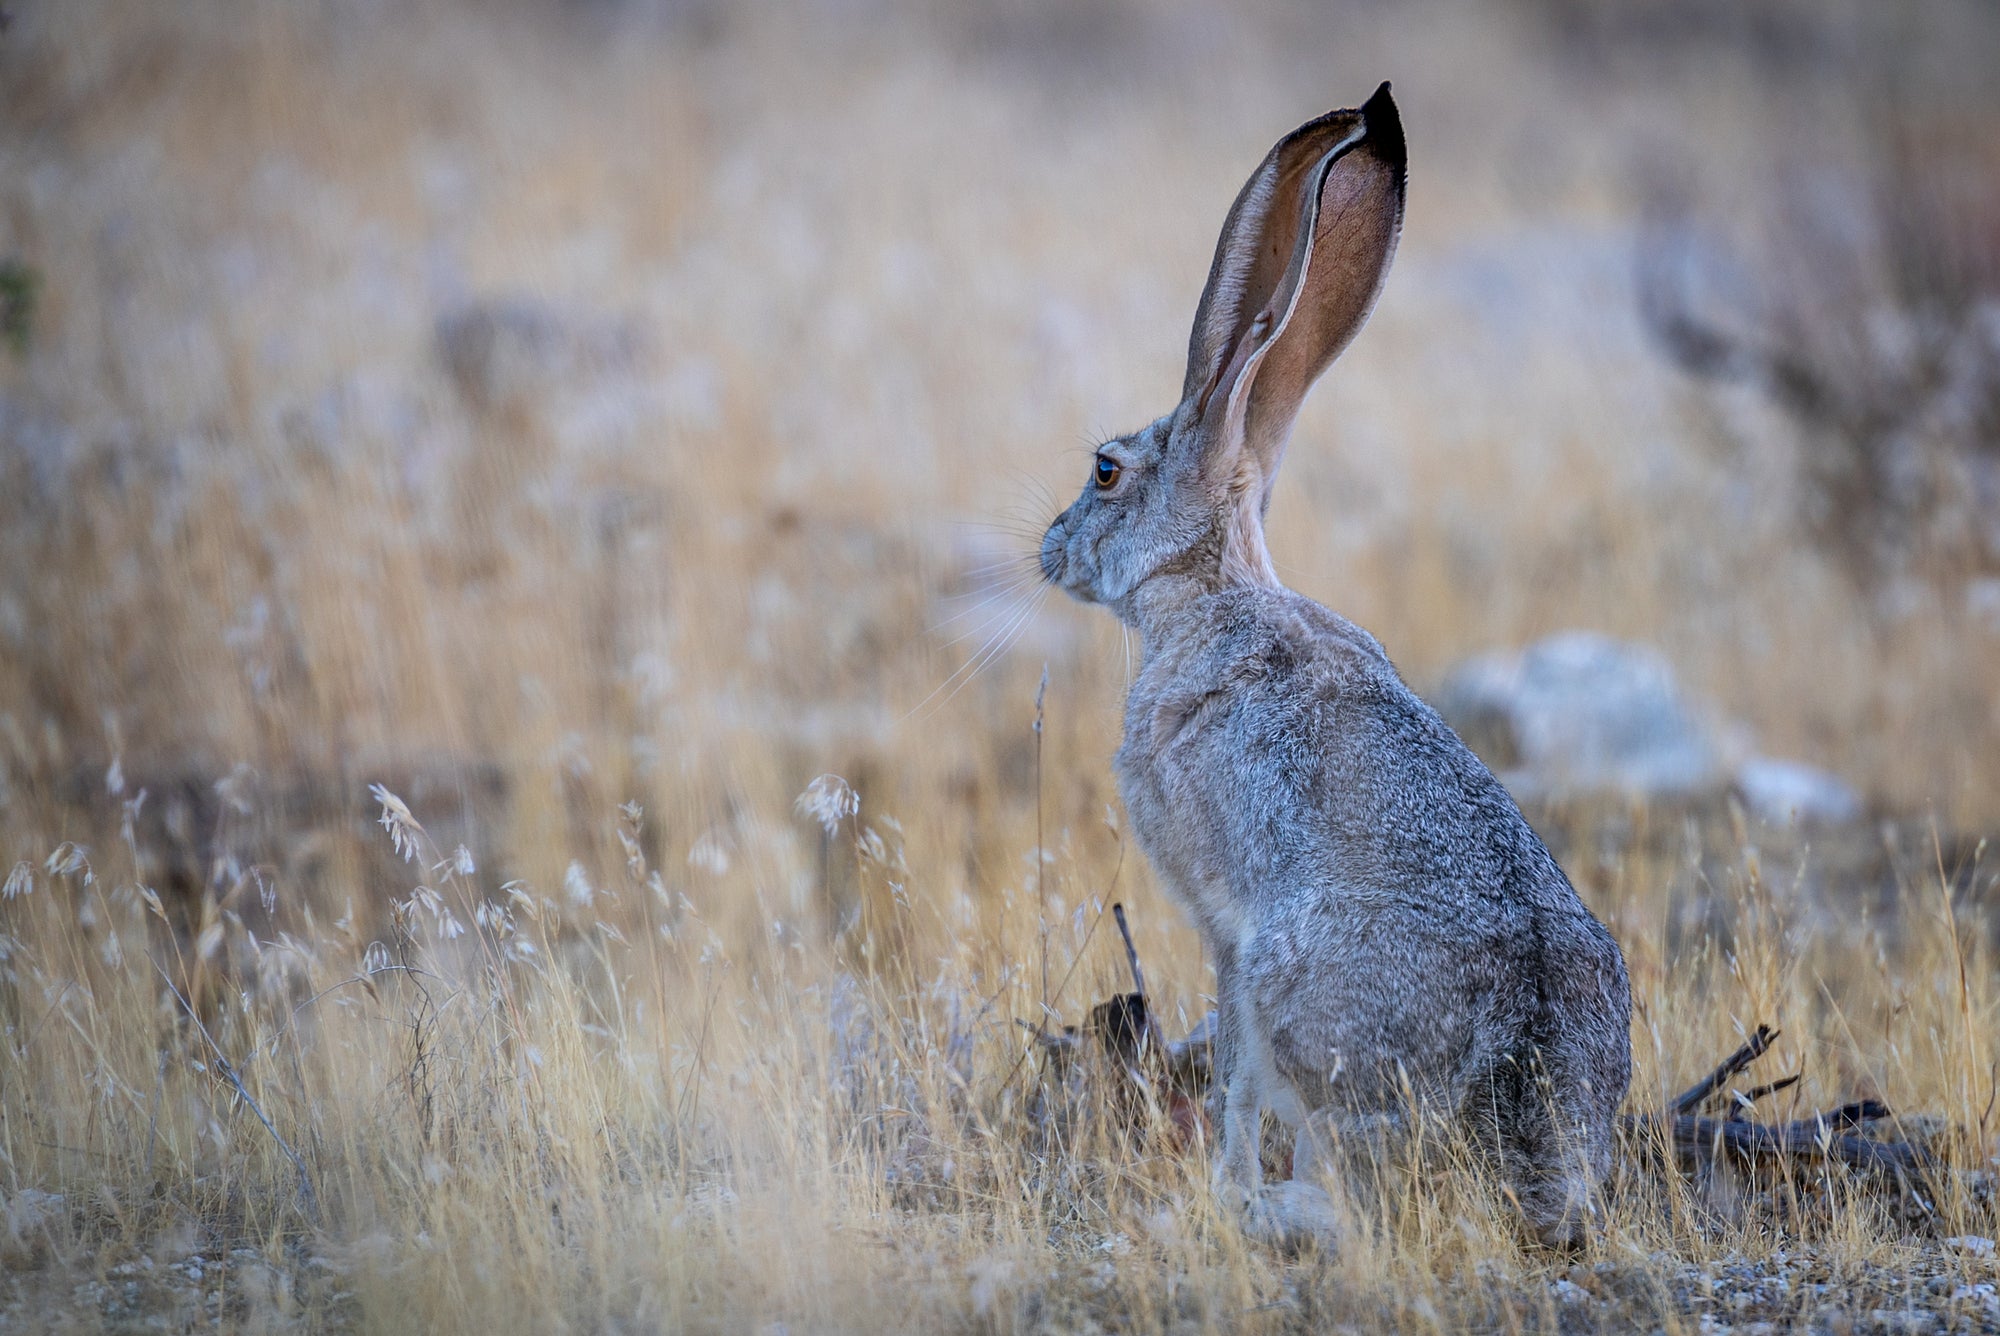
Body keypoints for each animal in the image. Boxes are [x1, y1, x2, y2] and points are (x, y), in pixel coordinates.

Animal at [1038, 83, 1631, 1250]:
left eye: (1105, 470)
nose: (1049, 551)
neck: (1213, 589)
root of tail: (1519, 1152)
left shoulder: (1224, 926)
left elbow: (1227, 1076)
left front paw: (1216, 1190)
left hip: (1294, 987)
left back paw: (1274, 1209)